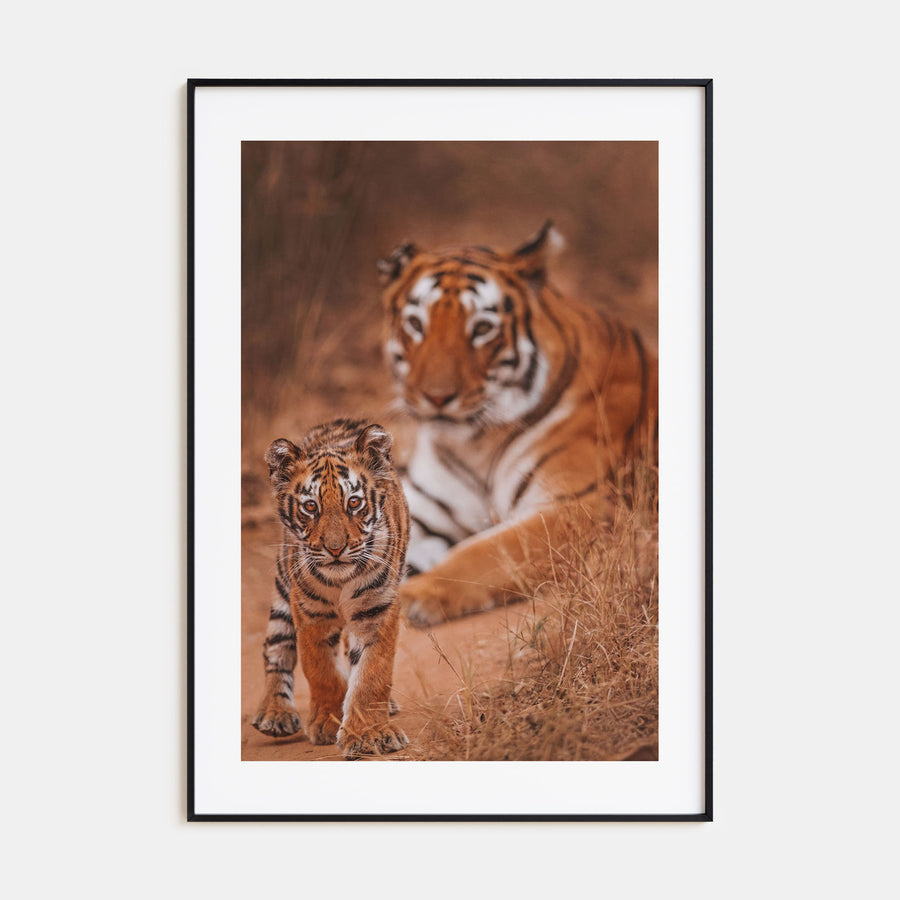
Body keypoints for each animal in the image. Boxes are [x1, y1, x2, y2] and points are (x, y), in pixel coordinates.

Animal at [251, 418, 411, 759]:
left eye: (354, 502)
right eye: (311, 507)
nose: (335, 549)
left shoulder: (377, 610)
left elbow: (373, 673)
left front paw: (369, 733)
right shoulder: (310, 613)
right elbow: (320, 669)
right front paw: (327, 722)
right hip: (283, 587)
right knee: (276, 645)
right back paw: (275, 713)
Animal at [378, 221, 657, 626]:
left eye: (481, 328)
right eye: (416, 324)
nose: (437, 397)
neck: (474, 442)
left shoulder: (578, 506)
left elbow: (488, 551)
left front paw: (417, 595)